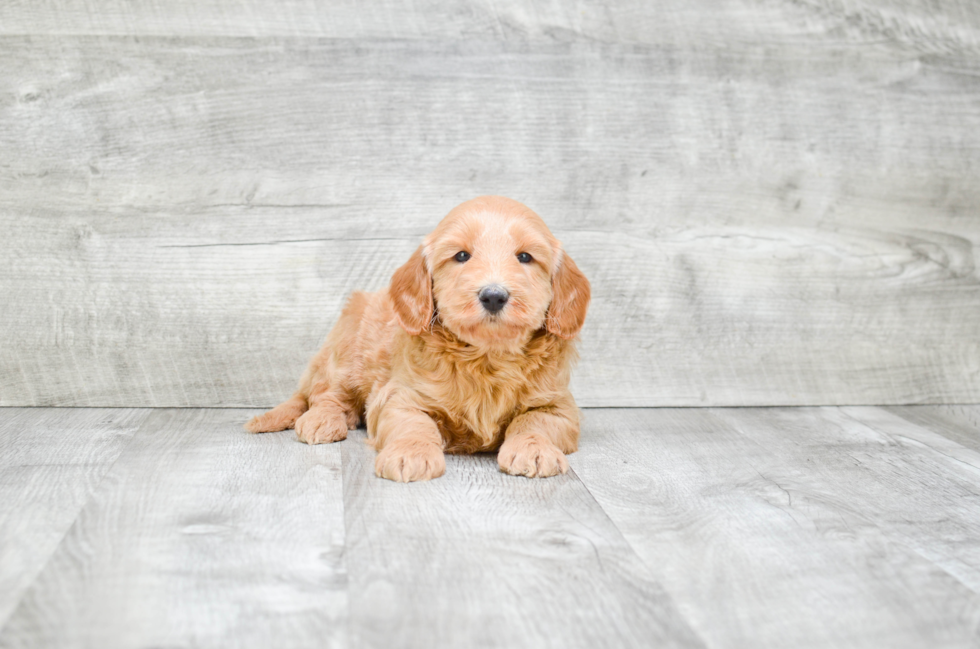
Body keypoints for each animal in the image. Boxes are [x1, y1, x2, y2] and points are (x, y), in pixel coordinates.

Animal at [249, 195, 592, 478]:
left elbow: (535, 421)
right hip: (346, 351)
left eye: (525, 257)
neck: (486, 357)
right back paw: (323, 420)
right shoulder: (399, 397)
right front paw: (411, 453)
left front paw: (533, 448)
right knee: (327, 395)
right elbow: (414, 423)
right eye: (461, 256)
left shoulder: (558, 404)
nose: (494, 296)